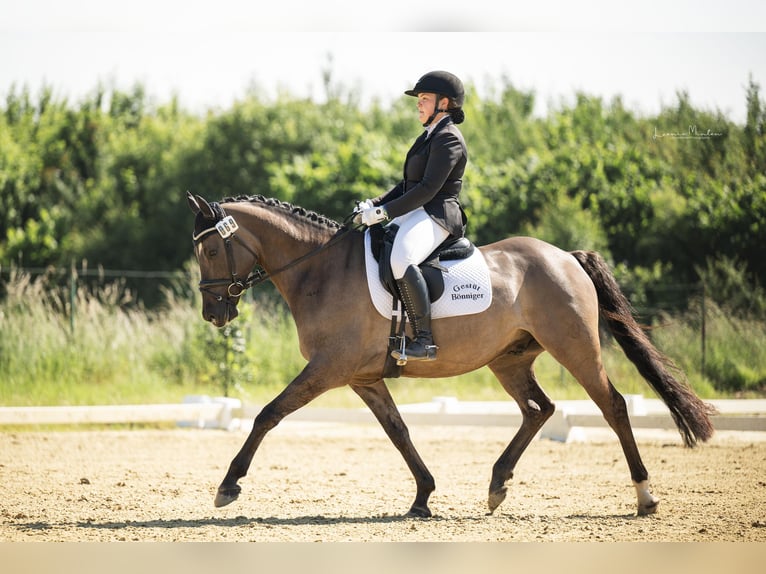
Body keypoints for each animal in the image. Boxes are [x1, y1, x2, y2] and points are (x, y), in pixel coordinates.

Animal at [189, 192, 716, 516]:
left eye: (211, 251)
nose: (213, 314)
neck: (321, 270)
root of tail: (566, 256)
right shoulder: (363, 377)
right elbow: (398, 432)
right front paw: (423, 496)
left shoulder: (327, 369)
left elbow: (268, 414)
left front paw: (228, 486)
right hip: (509, 359)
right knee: (539, 409)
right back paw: (497, 485)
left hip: (574, 347)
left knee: (613, 405)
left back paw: (644, 496)